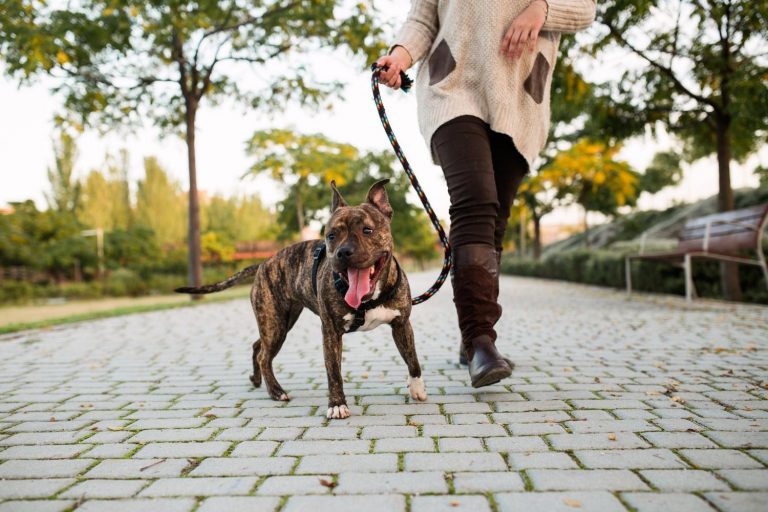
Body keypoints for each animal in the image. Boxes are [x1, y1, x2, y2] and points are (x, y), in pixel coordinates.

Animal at [175, 180, 426, 420]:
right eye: (331, 235)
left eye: (367, 230)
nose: (343, 252)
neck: (368, 299)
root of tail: (264, 263)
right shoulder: (331, 332)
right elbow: (334, 372)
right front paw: (337, 405)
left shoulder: (401, 324)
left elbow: (412, 358)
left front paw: (417, 388)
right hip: (275, 324)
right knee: (265, 355)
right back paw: (276, 391)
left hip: (280, 322)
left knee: (258, 346)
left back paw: (257, 380)